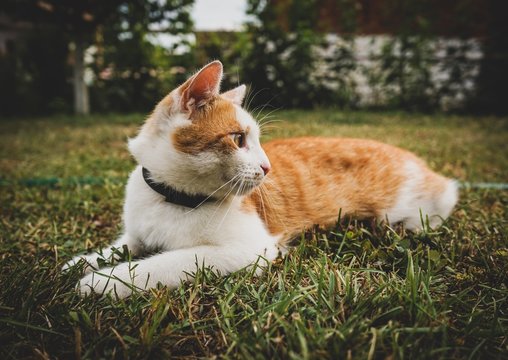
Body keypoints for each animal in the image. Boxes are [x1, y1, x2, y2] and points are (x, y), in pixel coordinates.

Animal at [62, 61, 456, 298]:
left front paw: (102, 281)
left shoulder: (248, 249)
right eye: (239, 139)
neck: (171, 196)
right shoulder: (136, 234)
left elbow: (159, 264)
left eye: (258, 140)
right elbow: (121, 246)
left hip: (406, 210)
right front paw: (82, 262)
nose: (267, 168)